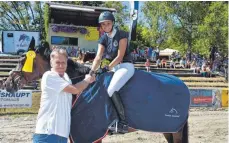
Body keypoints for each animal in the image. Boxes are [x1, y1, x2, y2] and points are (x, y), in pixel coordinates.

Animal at [4, 37, 190, 143]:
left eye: (22, 60)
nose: (7, 84)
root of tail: (183, 85)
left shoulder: (92, 133)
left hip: (176, 129)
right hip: (168, 129)